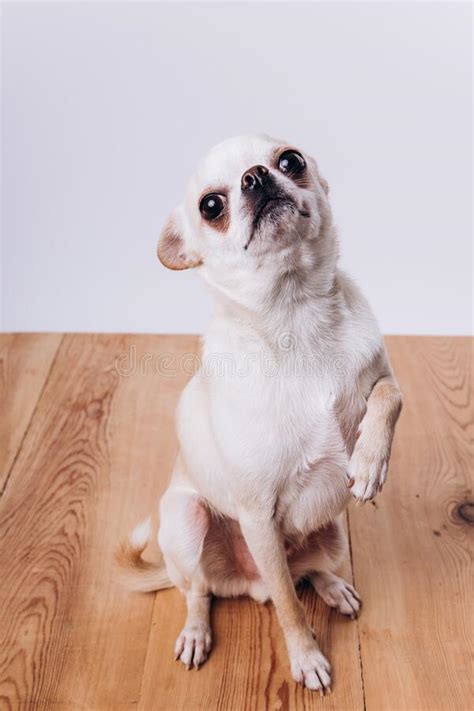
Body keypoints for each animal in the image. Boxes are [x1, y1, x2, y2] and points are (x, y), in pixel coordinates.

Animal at [116, 135, 402, 696]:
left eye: (290, 160)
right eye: (211, 206)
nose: (256, 176)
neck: (296, 316)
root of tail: (247, 586)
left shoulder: (382, 379)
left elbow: (388, 398)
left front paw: (368, 464)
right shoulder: (258, 516)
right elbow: (291, 610)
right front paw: (306, 658)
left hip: (332, 532)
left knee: (305, 571)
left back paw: (334, 587)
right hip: (186, 520)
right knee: (206, 590)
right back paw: (197, 631)